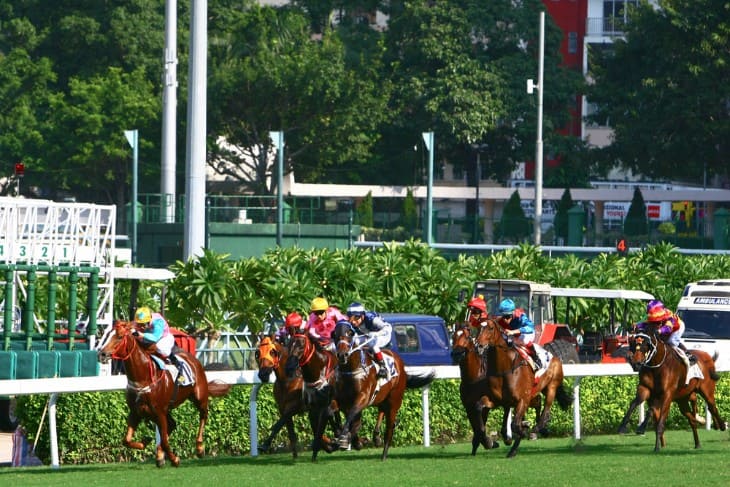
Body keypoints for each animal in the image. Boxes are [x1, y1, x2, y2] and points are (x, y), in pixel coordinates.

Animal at [95, 320, 229, 468]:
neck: (143, 378)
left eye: (119, 337)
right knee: (172, 424)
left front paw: (175, 459)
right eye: (107, 334)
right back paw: (159, 456)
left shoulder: (159, 412)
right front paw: (146, 441)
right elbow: (126, 440)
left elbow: (164, 440)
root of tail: (193, 359)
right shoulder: (136, 412)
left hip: (199, 396)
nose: (101, 354)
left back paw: (199, 448)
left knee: (203, 415)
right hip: (165, 410)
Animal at [332, 322, 436, 464]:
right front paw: (343, 435)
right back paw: (375, 436)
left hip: (395, 400)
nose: (342, 355)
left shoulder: (362, 398)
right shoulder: (341, 399)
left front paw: (344, 438)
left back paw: (384, 454)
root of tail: (399, 362)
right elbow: (333, 410)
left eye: (349, 334)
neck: (351, 369)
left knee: (389, 428)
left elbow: (352, 415)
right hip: (382, 397)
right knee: (381, 411)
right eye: (335, 335)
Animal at [446, 324, 544, 458]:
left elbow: (480, 424)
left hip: (526, 396)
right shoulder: (468, 406)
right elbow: (476, 426)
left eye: (466, 336)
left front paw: (489, 442)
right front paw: (481, 443)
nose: (457, 353)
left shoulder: (486, 402)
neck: (473, 377)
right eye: (454, 336)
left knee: (537, 402)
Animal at [470, 318, 572, 460]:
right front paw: (488, 440)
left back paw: (537, 429)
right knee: (538, 402)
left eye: (490, 328)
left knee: (546, 409)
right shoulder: (497, 399)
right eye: (478, 328)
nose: (478, 346)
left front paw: (518, 438)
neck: (505, 367)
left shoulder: (522, 400)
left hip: (551, 387)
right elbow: (479, 407)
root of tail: (555, 357)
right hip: (534, 392)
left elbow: (515, 425)